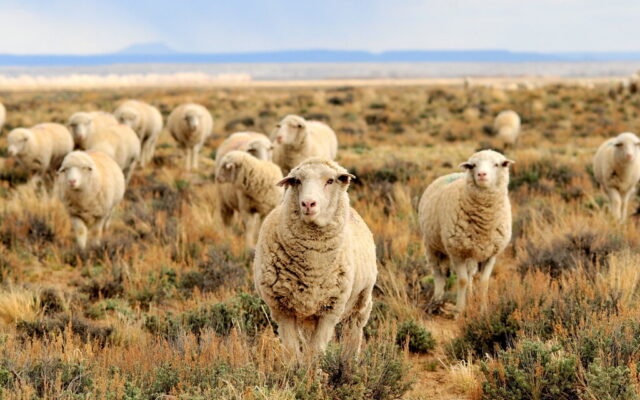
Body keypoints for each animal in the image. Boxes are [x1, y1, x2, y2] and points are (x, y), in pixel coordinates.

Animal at [253, 158, 377, 361]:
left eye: (330, 181)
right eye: (297, 181)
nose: (308, 203)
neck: (313, 265)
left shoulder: (330, 310)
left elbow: (316, 351)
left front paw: (314, 369)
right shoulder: (282, 309)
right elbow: (292, 351)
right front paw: (295, 369)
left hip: (361, 301)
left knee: (353, 332)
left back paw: (350, 361)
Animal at [418, 150, 513, 313]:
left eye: (497, 164)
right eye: (472, 165)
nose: (481, 174)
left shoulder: (491, 254)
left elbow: (484, 282)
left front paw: (483, 309)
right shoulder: (457, 252)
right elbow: (461, 280)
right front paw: (459, 310)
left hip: (471, 252)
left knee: (470, 275)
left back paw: (470, 295)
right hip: (431, 246)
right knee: (438, 275)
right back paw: (436, 301)